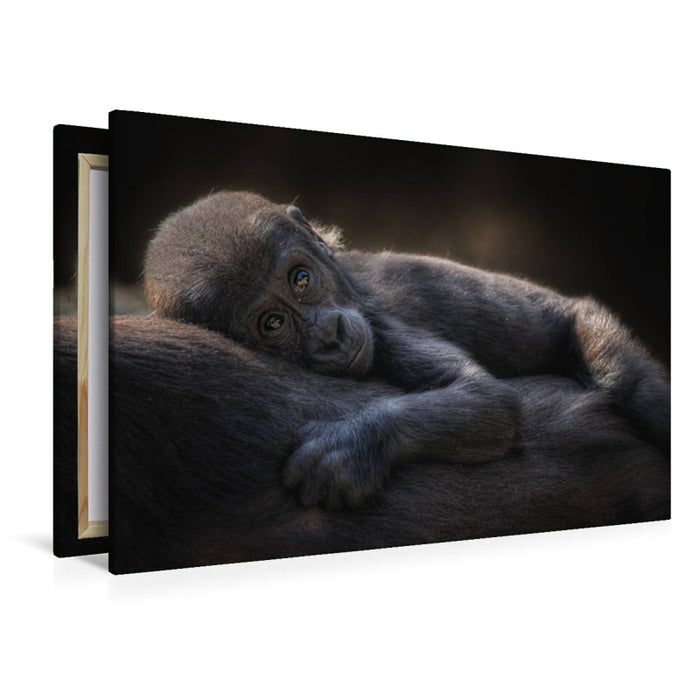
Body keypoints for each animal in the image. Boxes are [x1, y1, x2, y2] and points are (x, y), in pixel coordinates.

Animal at [143, 192, 670, 509]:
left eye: (302, 279)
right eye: (273, 324)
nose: (329, 334)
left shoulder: (380, 325)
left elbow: (484, 398)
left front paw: (354, 445)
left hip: (587, 320)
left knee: (630, 384)